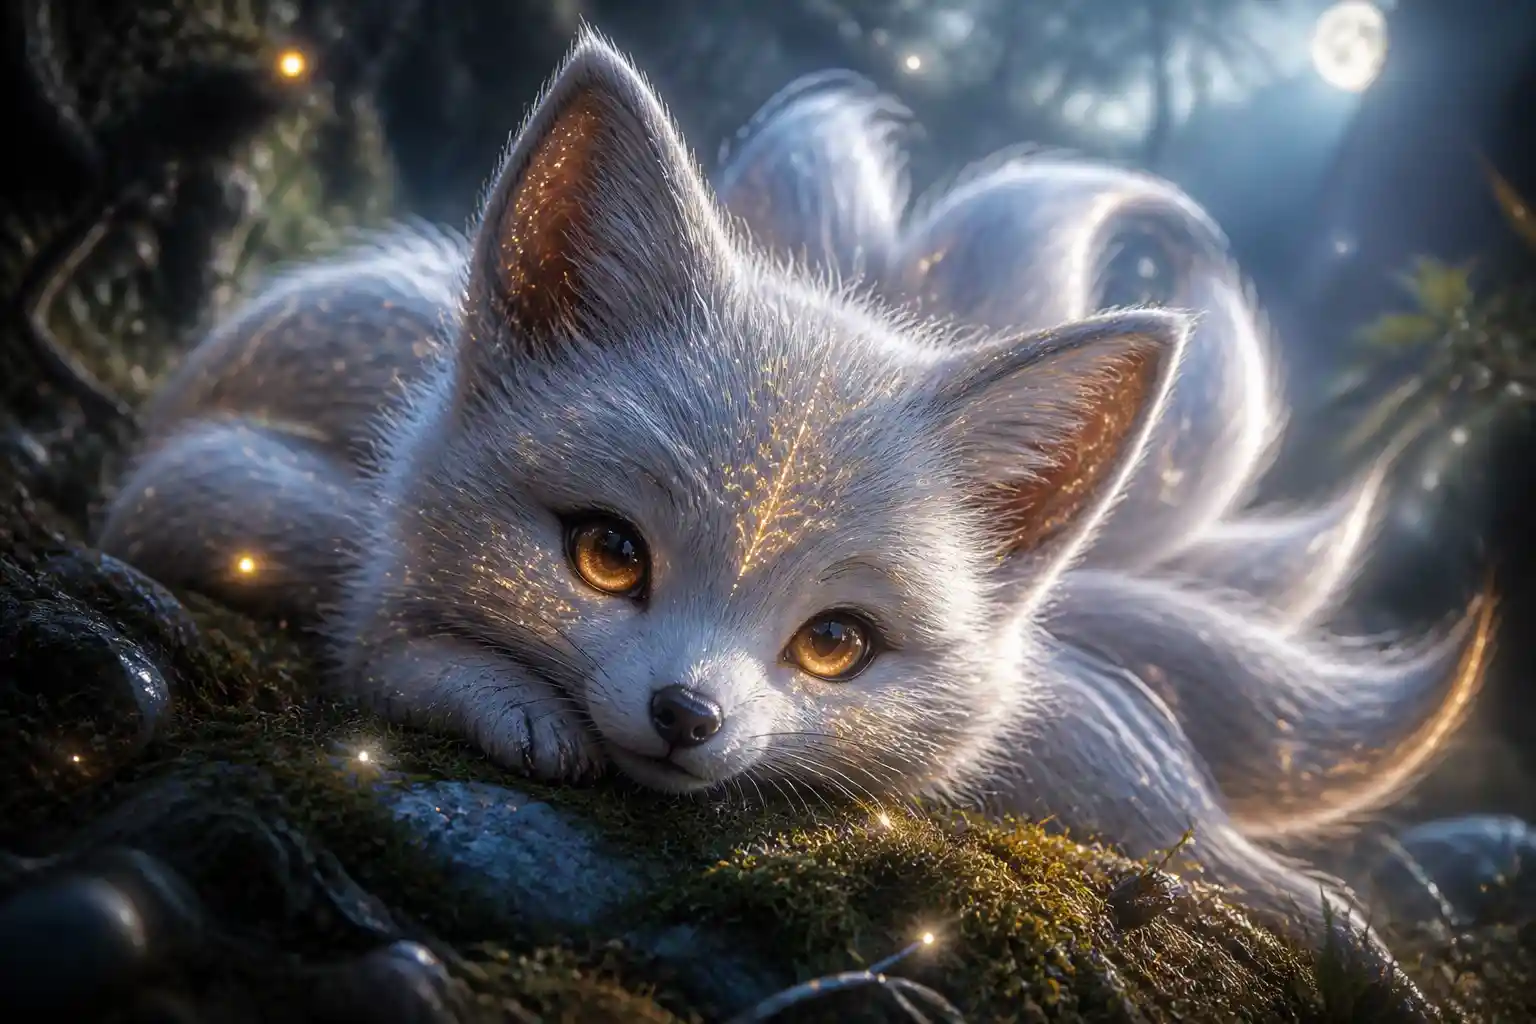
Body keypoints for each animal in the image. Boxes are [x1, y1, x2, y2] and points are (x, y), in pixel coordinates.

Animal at [97, 28, 1491, 1006]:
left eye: (836, 644)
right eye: (606, 555)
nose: (685, 715)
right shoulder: (239, 494)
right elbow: (371, 630)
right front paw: (511, 703)